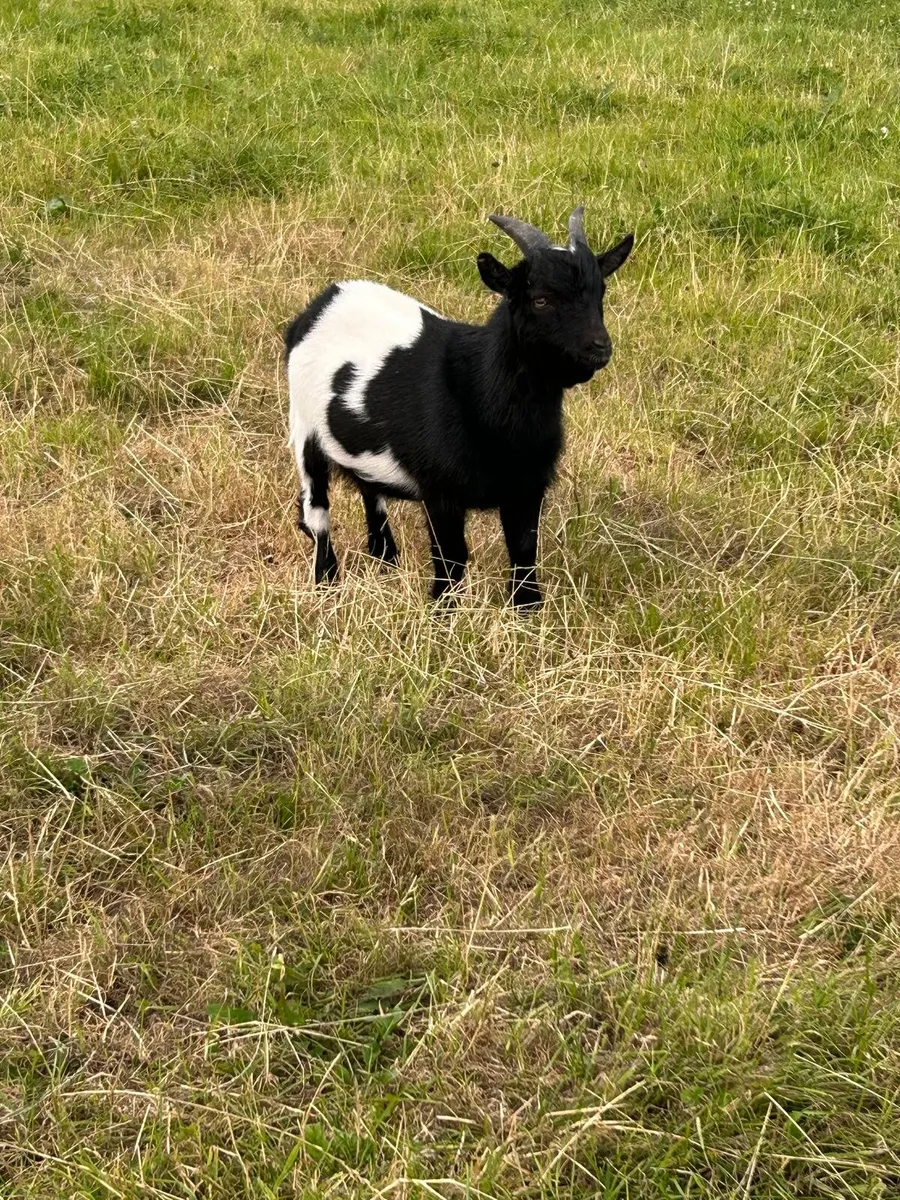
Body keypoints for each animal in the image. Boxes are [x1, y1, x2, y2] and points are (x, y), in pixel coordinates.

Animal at [285, 206, 632, 608]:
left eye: (600, 291)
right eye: (540, 299)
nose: (599, 348)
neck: (476, 390)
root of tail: (324, 301)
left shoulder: (527, 488)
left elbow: (523, 552)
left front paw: (527, 611)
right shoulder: (441, 494)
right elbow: (451, 560)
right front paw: (441, 613)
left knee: (369, 490)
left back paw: (386, 559)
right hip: (304, 428)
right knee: (316, 513)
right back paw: (327, 582)